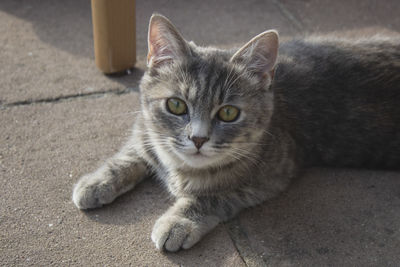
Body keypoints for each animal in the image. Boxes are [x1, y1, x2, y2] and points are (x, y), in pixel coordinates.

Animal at [72, 14, 400, 253]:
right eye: (176, 105)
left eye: (228, 113)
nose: (198, 139)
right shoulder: (146, 131)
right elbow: (133, 150)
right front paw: (97, 181)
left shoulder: (273, 176)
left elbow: (212, 195)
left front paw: (179, 220)